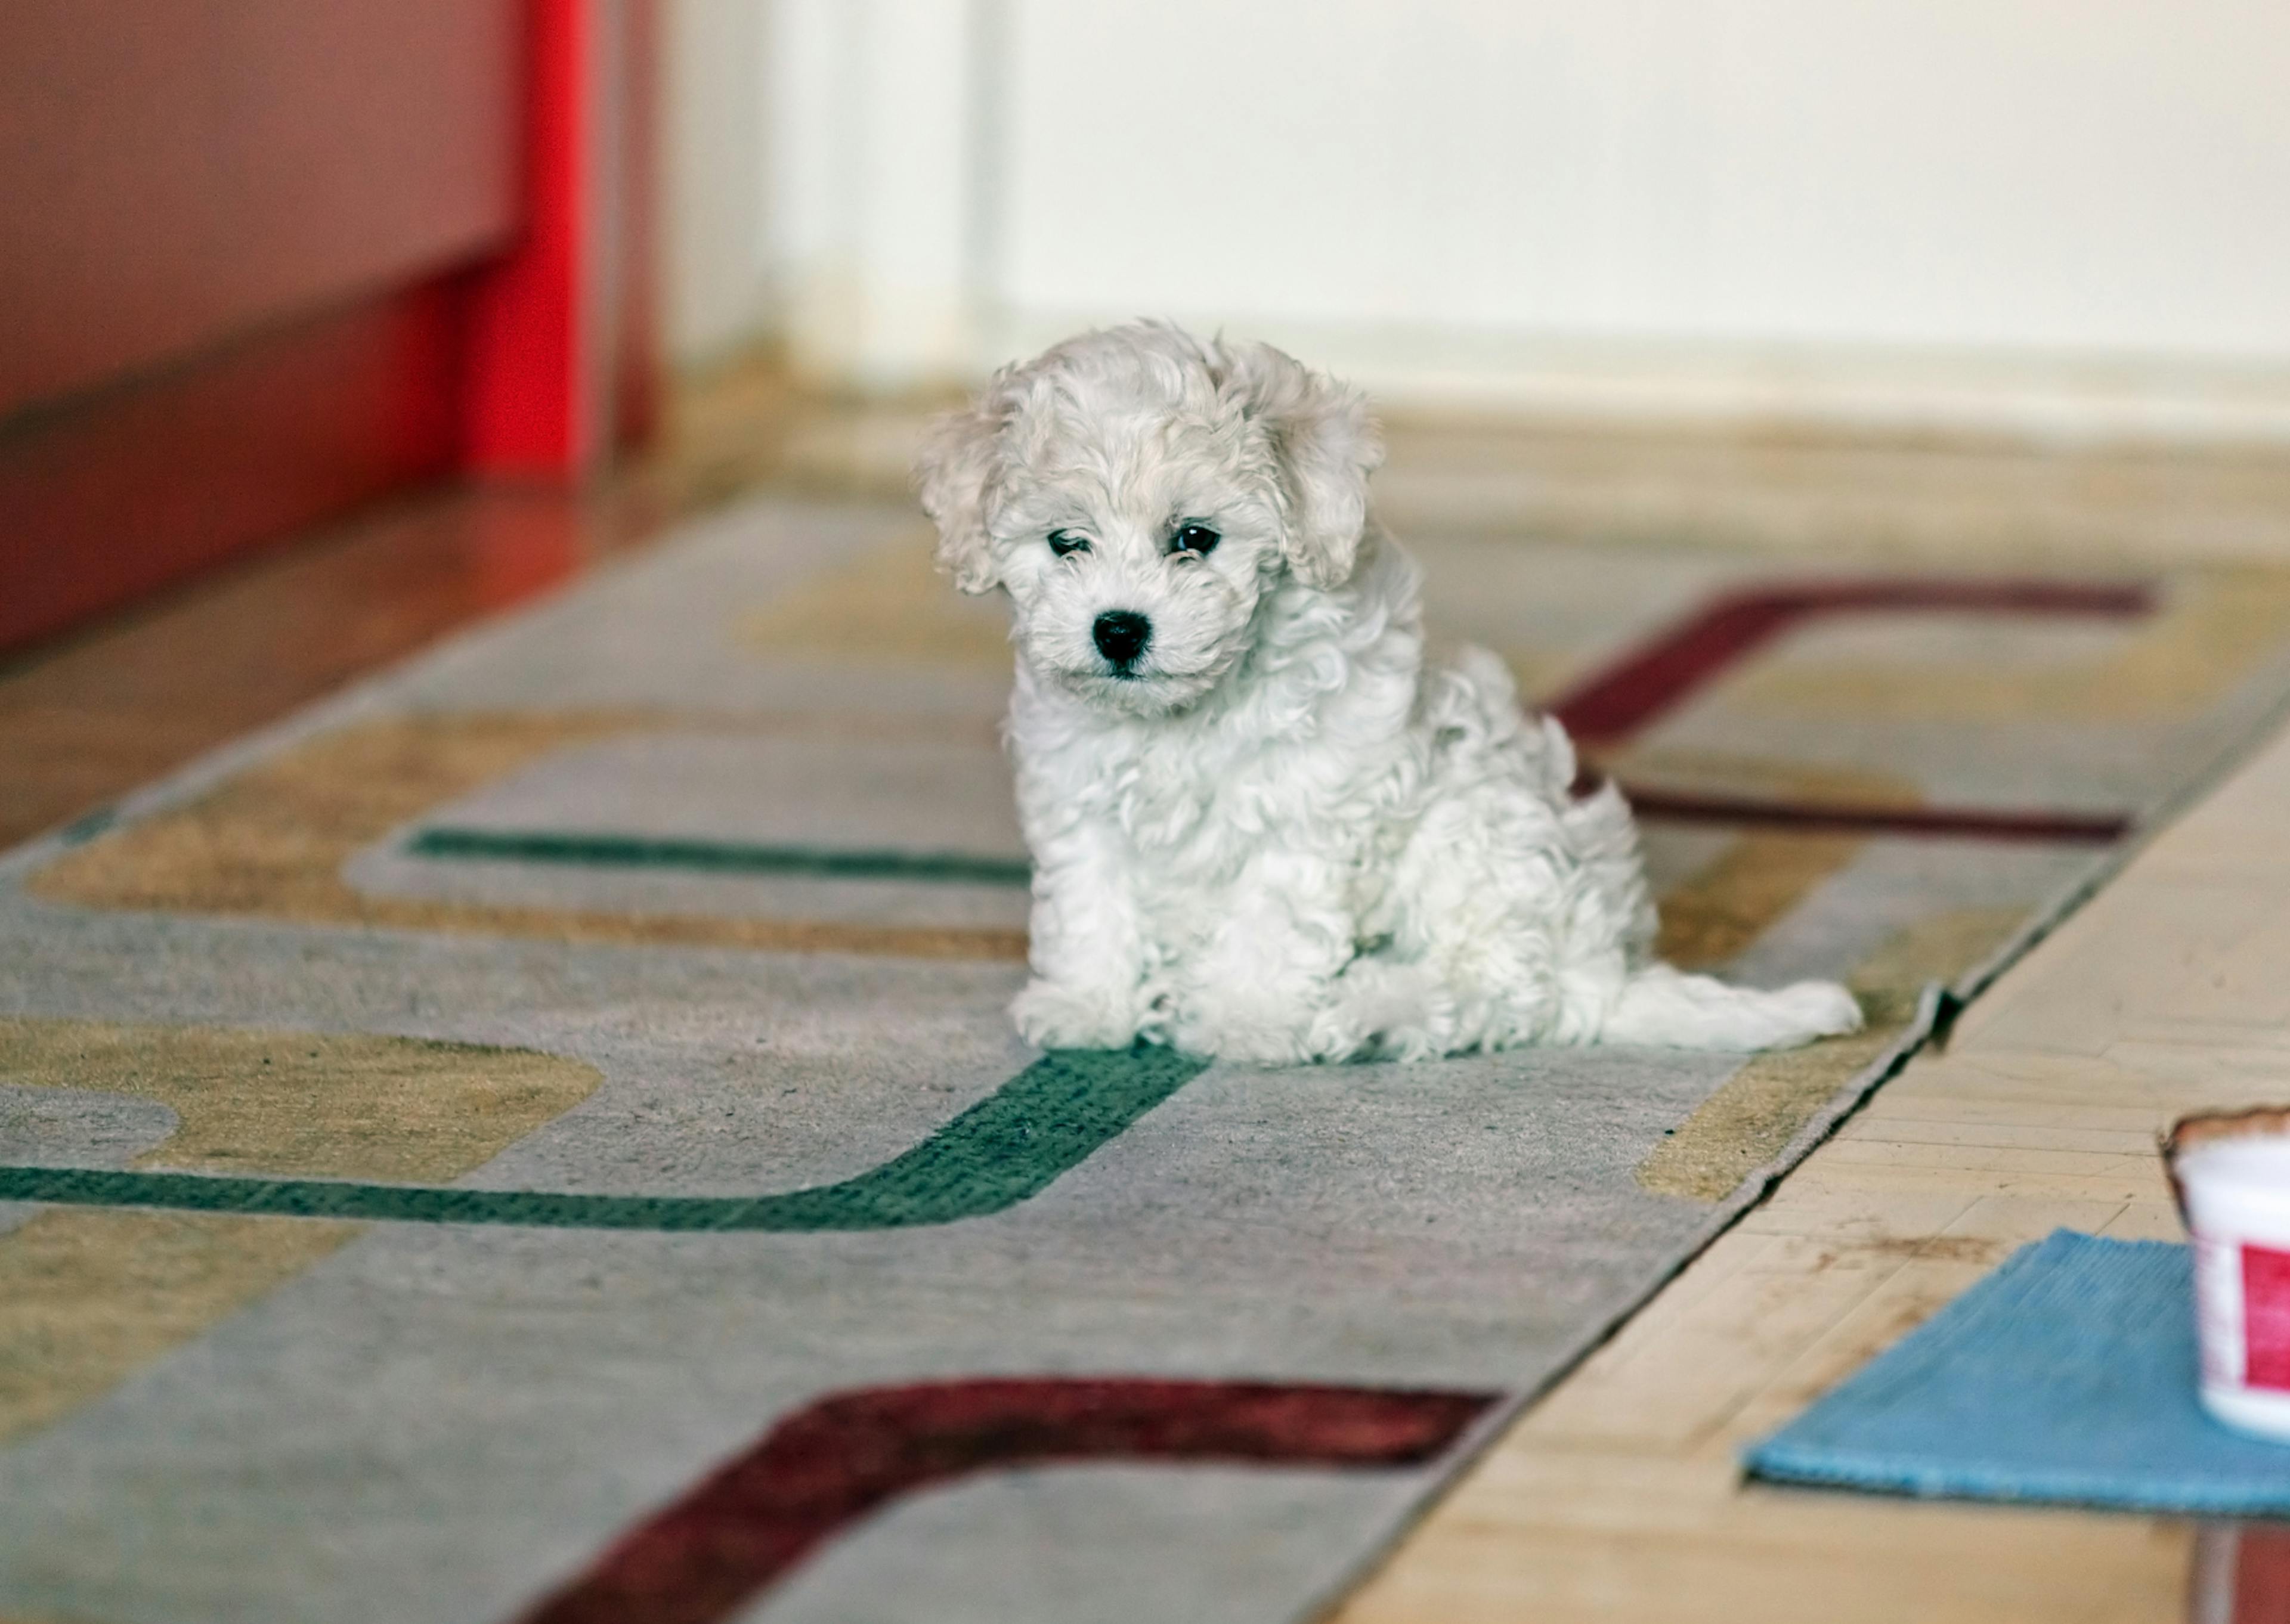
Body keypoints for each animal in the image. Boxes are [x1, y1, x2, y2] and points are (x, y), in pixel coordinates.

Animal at [916, 325, 1859, 1062]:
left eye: (1195, 538)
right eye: (1064, 543)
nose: (1118, 629)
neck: (1187, 717)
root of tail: (1607, 972)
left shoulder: (1301, 810)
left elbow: (1271, 916)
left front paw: (1245, 1021)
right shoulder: (1080, 796)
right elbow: (1093, 902)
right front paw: (1090, 1005)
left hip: (1474, 835)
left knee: (1491, 992)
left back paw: (1358, 1007)